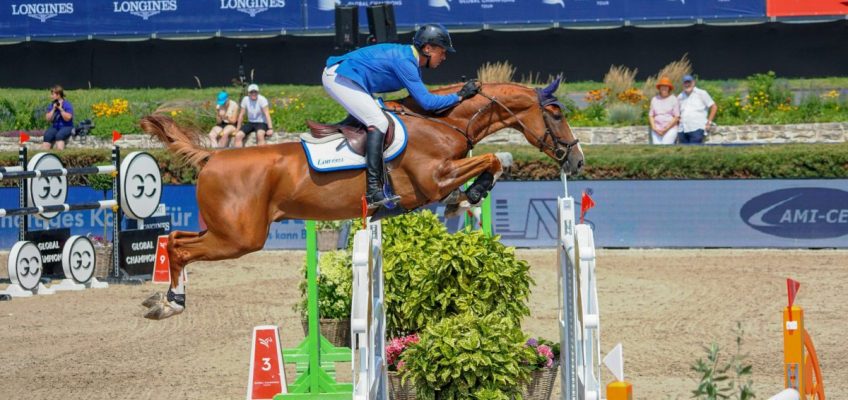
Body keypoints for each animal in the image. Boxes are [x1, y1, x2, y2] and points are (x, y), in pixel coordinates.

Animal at [139, 78, 584, 318]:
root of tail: (213, 156)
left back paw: (166, 299)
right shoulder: (434, 179)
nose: (577, 160)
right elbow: (494, 159)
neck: (442, 122)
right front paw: (474, 190)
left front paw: (468, 196)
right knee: (180, 247)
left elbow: (490, 163)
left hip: (228, 231)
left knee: (175, 240)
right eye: (557, 113)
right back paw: (171, 303)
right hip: (240, 237)